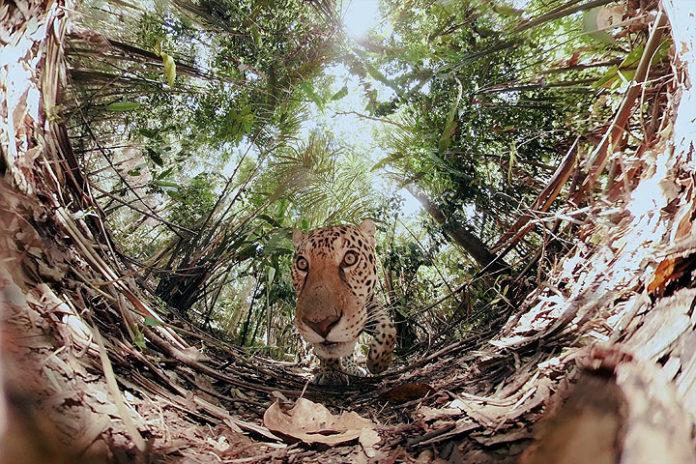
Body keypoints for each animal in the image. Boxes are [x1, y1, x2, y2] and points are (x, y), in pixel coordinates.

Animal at [291, 219, 396, 385]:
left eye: (350, 258)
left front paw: (377, 363)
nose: (321, 325)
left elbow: (388, 328)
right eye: (302, 264)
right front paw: (331, 374)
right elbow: (326, 353)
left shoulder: (370, 304)